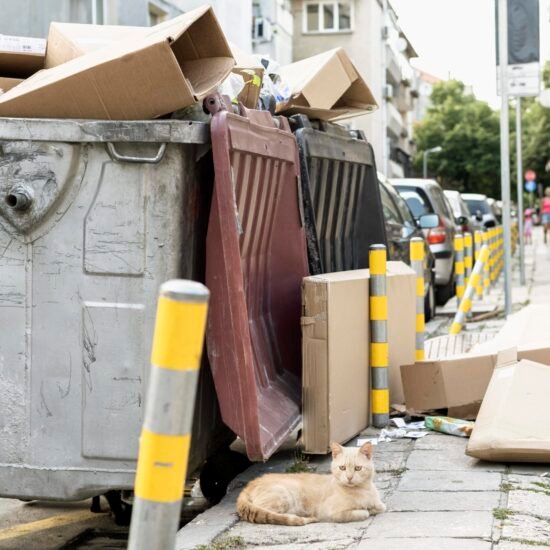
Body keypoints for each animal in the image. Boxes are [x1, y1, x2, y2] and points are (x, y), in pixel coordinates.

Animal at [237, 442, 388, 528]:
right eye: (342, 468)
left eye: (358, 468)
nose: (349, 478)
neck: (363, 490)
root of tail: (251, 484)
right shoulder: (330, 512)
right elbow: (363, 513)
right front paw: (366, 510)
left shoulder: (379, 504)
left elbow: (381, 507)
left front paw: (372, 507)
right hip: (284, 496)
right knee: (269, 513)